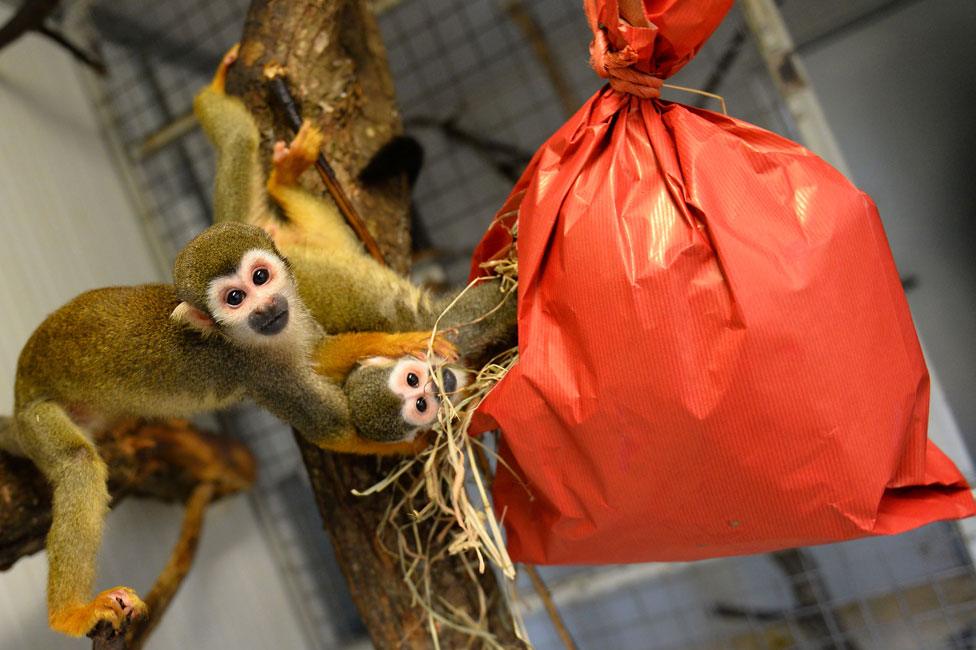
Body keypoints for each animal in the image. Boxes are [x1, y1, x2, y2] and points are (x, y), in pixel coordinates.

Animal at [0, 220, 434, 636]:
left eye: (260, 277)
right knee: (78, 463)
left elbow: (318, 355)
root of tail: (21, 389)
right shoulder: (257, 371)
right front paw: (427, 442)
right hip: (39, 418)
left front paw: (393, 342)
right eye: (235, 299)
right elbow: (332, 430)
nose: (266, 307)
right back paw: (70, 614)